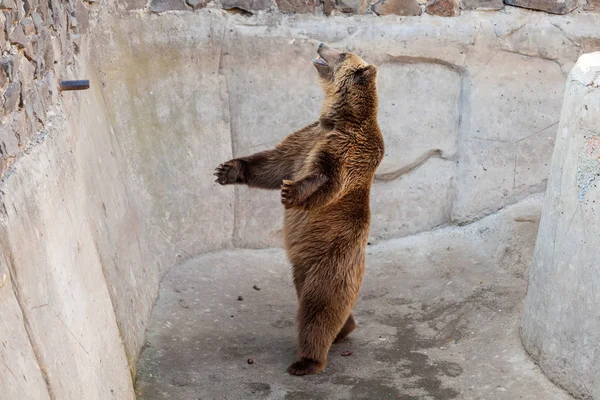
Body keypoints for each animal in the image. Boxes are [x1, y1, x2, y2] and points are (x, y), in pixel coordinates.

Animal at [216, 43, 384, 376]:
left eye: (342, 53)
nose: (321, 45)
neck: (339, 118)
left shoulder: (349, 150)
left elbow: (327, 178)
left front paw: (291, 191)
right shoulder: (307, 138)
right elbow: (273, 163)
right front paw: (227, 170)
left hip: (332, 260)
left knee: (318, 308)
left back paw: (307, 361)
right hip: (303, 267)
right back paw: (345, 329)